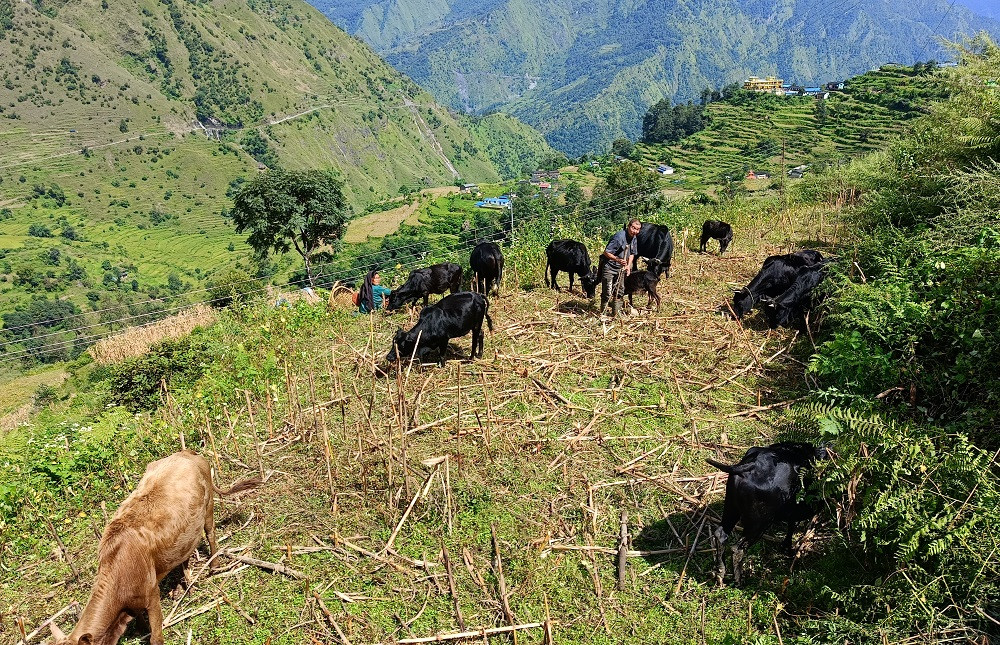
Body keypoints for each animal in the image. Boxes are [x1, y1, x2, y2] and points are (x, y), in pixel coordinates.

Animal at [49, 450, 262, 644]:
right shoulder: (133, 604)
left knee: (210, 534)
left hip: (209, 504)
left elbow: (156, 637)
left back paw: (214, 567)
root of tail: (187, 453)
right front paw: (141, 629)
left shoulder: (152, 594)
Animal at [704, 442, 828, 584]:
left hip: (731, 508)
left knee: (721, 535)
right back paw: (739, 580)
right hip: (759, 523)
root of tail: (753, 465)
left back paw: (720, 573)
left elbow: (790, 527)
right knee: (738, 549)